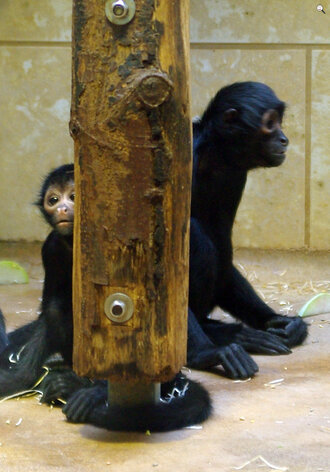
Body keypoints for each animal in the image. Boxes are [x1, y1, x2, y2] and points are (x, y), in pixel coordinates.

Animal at [0, 164, 211, 434]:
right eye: (53, 199)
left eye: (73, 196)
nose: (62, 209)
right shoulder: (51, 247)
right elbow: (49, 310)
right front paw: (20, 378)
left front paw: (96, 390)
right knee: (58, 308)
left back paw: (80, 385)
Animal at [187, 80, 308, 380]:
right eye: (271, 124)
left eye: (280, 122)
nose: (284, 139)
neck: (209, 157)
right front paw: (205, 353)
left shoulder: (233, 175)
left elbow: (223, 247)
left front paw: (279, 322)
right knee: (194, 233)